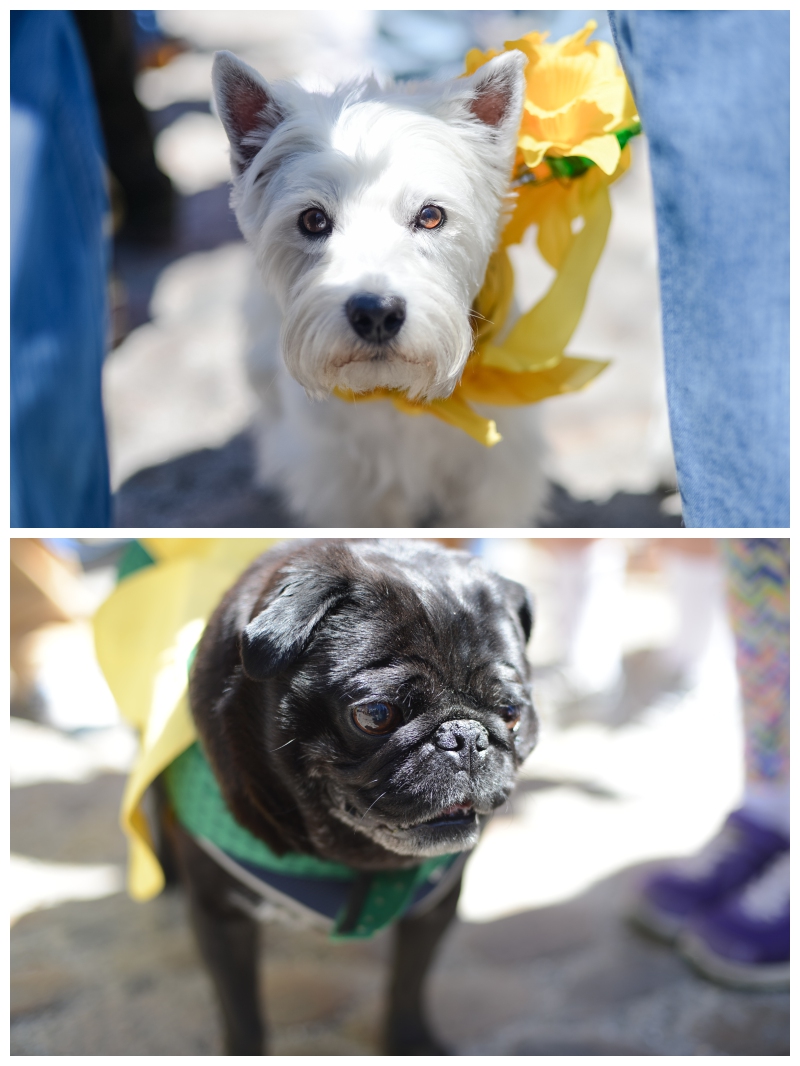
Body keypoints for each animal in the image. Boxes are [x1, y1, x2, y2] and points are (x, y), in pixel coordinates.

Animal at [213, 50, 550, 524]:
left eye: (431, 215)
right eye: (312, 219)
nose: (376, 313)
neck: (395, 392)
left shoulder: (497, 473)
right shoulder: (346, 487)